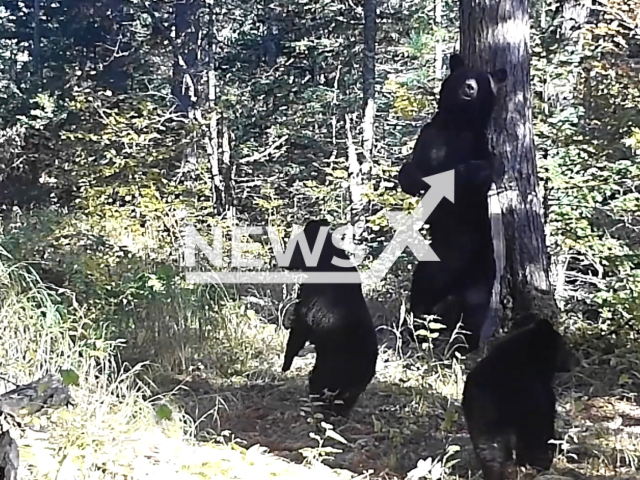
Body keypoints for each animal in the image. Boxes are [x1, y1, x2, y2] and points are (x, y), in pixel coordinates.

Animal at [278, 220, 378, 416]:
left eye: (294, 245)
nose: (282, 260)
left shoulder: (310, 297)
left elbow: (299, 328)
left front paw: (286, 363)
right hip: (354, 381)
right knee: (345, 398)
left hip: (330, 365)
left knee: (318, 383)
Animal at [398, 53, 508, 352]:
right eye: (465, 74)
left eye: (483, 80)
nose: (470, 87)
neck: (458, 123)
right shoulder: (429, 138)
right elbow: (411, 175)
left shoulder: (477, 150)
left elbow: (477, 172)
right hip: (432, 264)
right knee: (421, 289)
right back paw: (417, 328)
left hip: (481, 277)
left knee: (474, 310)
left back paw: (463, 343)